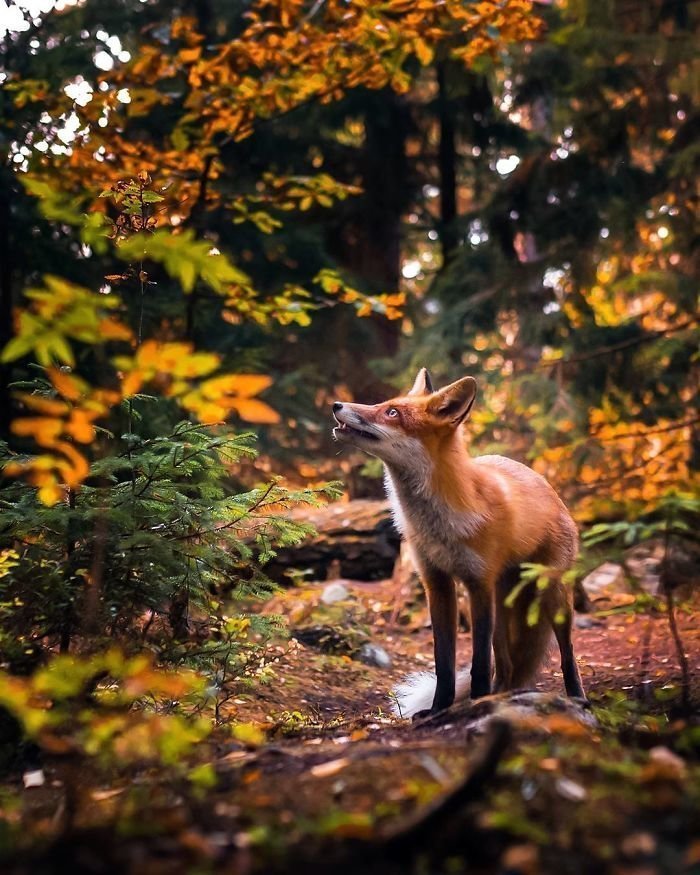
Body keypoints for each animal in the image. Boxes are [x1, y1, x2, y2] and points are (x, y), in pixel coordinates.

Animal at [330, 368, 584, 720]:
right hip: (504, 607)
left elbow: (478, 662)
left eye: (392, 412)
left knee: (567, 654)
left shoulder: (479, 583)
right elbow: (444, 661)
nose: (336, 404)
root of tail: (546, 484)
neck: (439, 524)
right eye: (384, 404)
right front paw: (439, 708)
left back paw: (576, 698)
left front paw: (473, 703)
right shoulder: (436, 582)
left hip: (552, 594)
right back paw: (501, 696)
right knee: (505, 665)